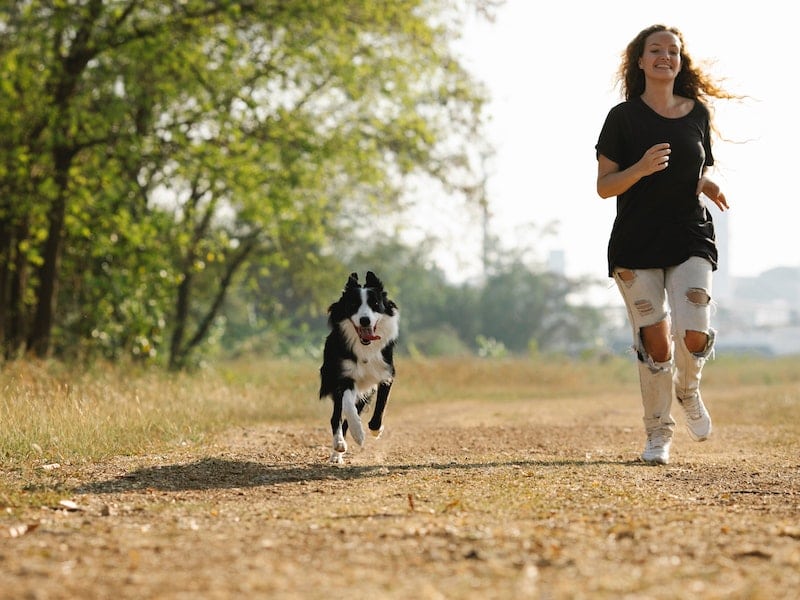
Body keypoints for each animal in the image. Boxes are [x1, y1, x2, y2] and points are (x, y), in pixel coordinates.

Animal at [318, 272, 400, 464]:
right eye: (353, 304)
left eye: (375, 304)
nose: (365, 320)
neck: (365, 348)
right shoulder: (344, 377)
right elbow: (348, 406)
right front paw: (358, 434)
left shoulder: (386, 374)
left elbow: (381, 406)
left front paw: (375, 430)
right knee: (336, 417)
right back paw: (338, 447)